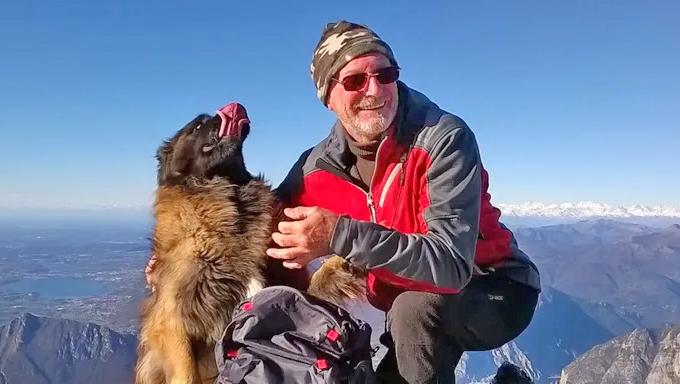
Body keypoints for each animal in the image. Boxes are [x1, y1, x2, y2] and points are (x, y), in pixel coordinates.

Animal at [137, 103, 366, 384]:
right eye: (198, 125)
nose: (233, 106)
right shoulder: (170, 324)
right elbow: (187, 372)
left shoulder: (288, 290)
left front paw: (344, 263)